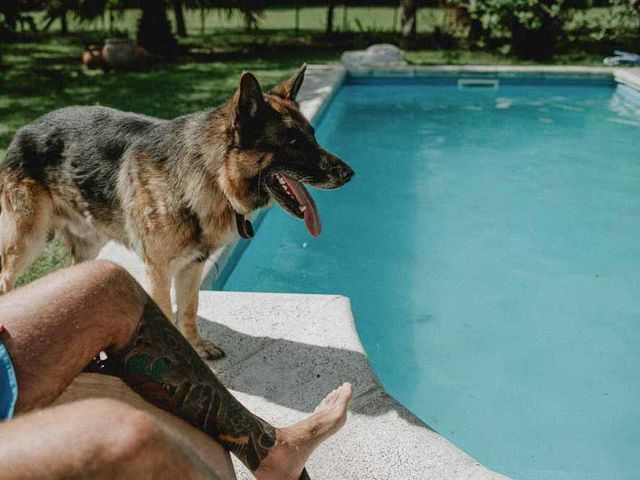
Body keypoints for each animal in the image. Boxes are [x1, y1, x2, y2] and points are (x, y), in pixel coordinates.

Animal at [0, 65, 352, 358]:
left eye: (312, 136)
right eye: (293, 143)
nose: (350, 174)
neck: (210, 175)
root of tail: (23, 129)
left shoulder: (192, 266)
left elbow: (189, 309)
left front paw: (197, 347)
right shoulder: (158, 270)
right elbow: (169, 314)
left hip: (89, 246)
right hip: (27, 242)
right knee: (5, 280)